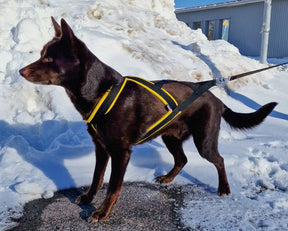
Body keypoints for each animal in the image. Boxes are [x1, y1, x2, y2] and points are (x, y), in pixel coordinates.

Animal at [19, 17, 276, 221]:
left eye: (49, 59)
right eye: (42, 55)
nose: (21, 72)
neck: (100, 91)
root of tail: (215, 98)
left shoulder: (121, 152)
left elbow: (113, 186)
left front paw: (102, 212)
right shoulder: (101, 148)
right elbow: (96, 177)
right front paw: (89, 198)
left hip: (204, 141)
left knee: (219, 160)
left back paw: (223, 188)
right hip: (171, 137)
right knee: (182, 159)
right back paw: (168, 178)